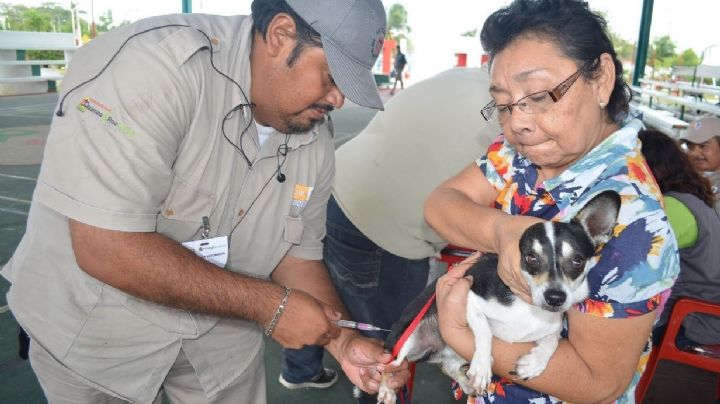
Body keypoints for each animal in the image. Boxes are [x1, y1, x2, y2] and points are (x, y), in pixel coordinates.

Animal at [376, 191, 620, 402]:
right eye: (531, 258)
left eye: (577, 261)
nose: (555, 297)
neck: (528, 307)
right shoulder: (469, 297)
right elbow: (484, 330)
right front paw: (482, 366)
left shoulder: (553, 327)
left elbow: (552, 340)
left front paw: (534, 362)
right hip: (406, 341)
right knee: (389, 366)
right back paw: (387, 389)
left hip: (453, 352)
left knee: (447, 366)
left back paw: (466, 382)